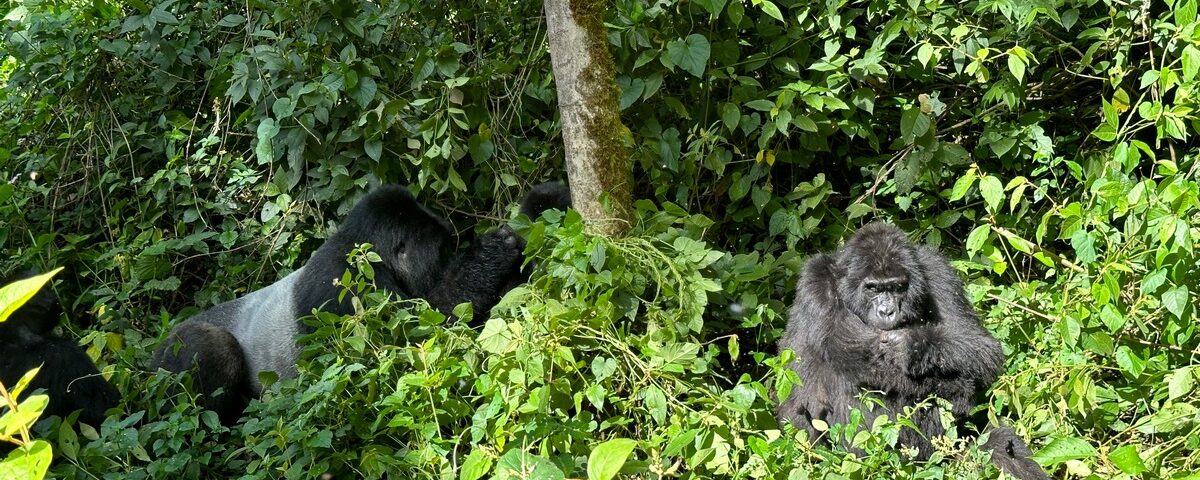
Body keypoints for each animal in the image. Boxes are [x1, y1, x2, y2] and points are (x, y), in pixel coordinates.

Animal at [151, 182, 571, 422]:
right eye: (443, 251)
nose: (454, 253)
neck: (366, 249)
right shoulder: (343, 288)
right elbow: (409, 353)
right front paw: (490, 255)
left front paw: (542, 205)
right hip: (167, 361)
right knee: (211, 348)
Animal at [777, 223, 1051, 480]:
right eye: (873, 288)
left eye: (897, 287)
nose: (887, 311)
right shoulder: (817, 280)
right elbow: (858, 354)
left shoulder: (937, 269)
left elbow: (982, 347)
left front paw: (912, 345)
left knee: (997, 441)